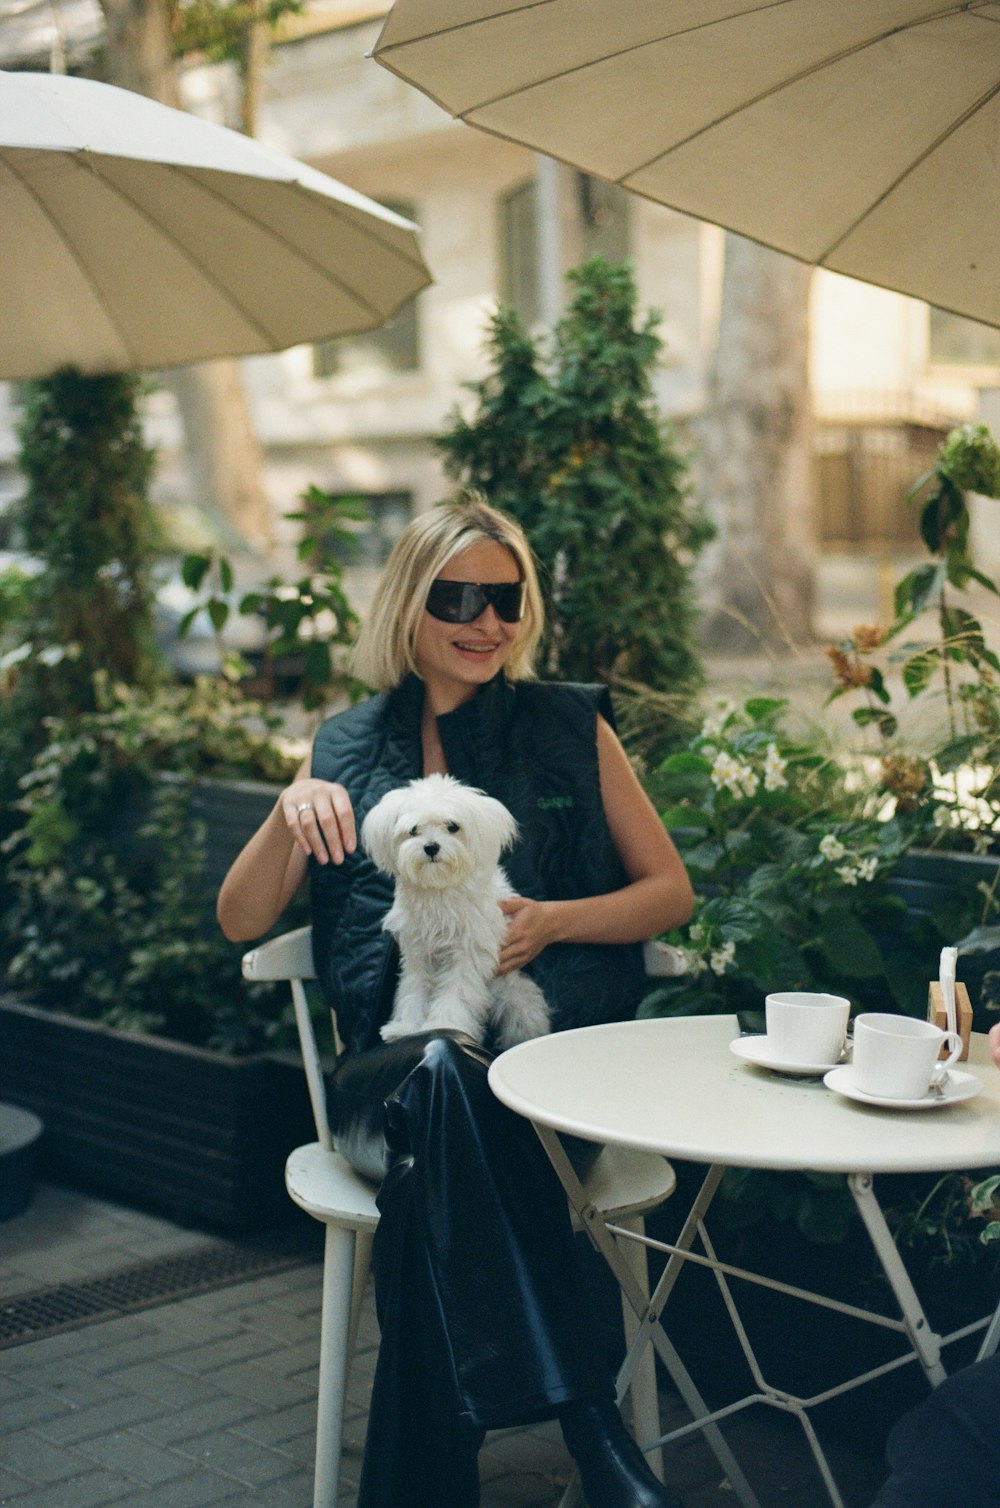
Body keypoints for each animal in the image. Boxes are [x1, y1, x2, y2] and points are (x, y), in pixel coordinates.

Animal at [360, 778, 552, 1049]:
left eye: (452, 827)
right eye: (413, 830)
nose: (431, 847)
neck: (439, 890)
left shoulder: (468, 954)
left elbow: (455, 992)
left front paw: (445, 1025)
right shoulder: (418, 953)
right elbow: (413, 988)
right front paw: (406, 1027)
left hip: (519, 1000)